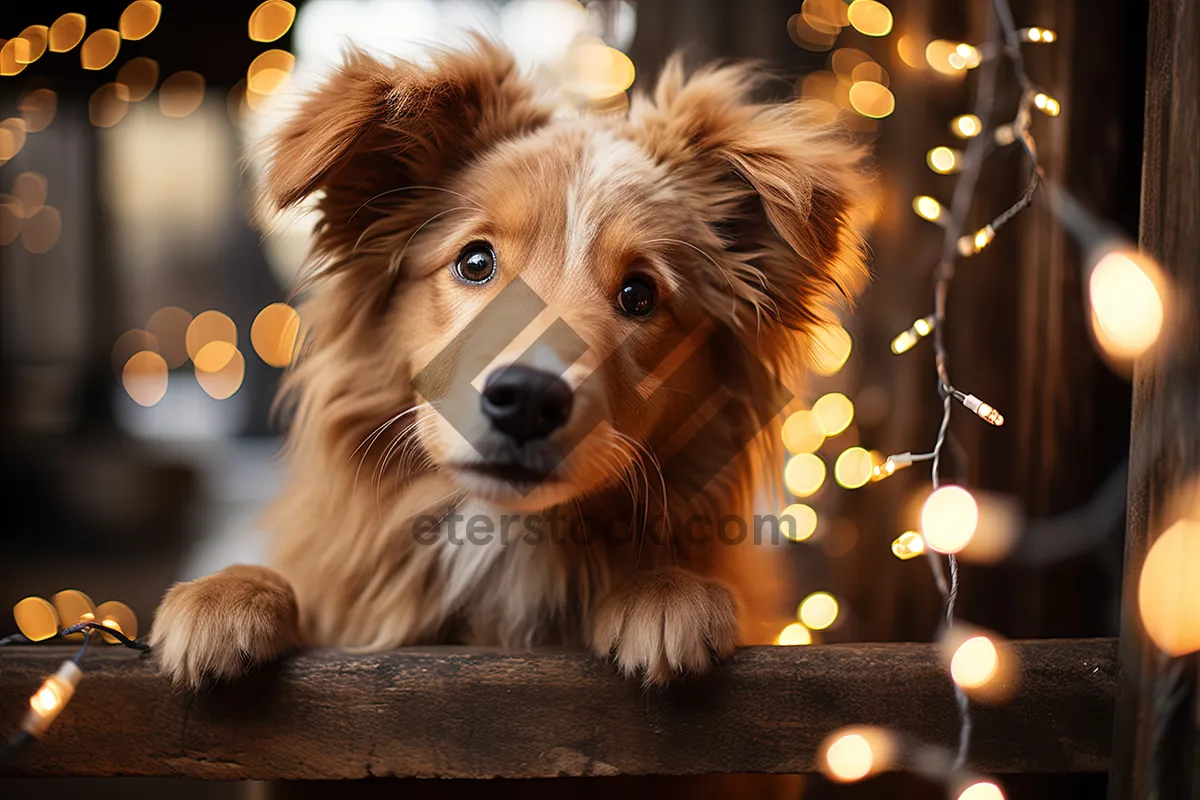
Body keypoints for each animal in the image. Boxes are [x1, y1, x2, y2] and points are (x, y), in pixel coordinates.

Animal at [147, 37, 873, 690]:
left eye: (640, 295)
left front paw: (666, 589)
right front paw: (228, 593)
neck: (501, 537)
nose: (526, 398)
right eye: (475, 261)